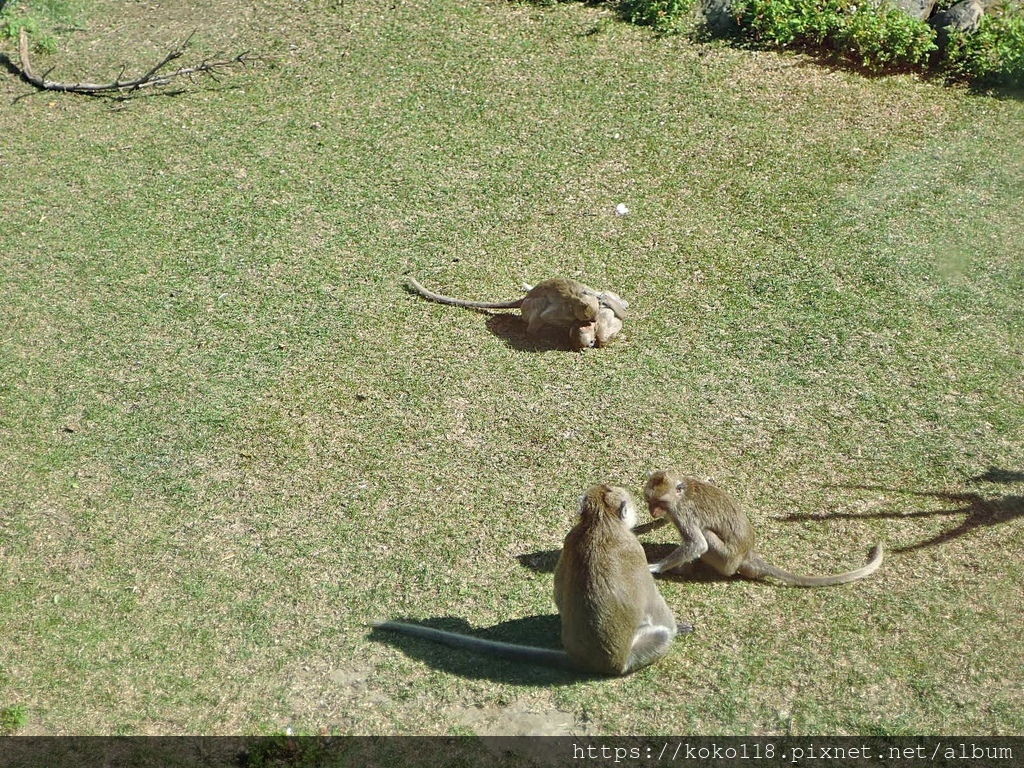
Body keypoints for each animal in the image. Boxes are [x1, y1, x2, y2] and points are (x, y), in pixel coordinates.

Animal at [370, 483, 688, 675]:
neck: (600, 524)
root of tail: (589, 662)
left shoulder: (570, 538)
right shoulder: (634, 551)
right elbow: (657, 608)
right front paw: (680, 626)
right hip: (634, 656)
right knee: (661, 634)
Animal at [643, 468, 884, 589]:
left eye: (660, 502)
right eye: (649, 501)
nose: (653, 511)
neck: (681, 492)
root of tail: (746, 555)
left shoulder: (683, 512)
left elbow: (697, 543)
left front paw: (656, 567)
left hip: (724, 559)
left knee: (707, 537)